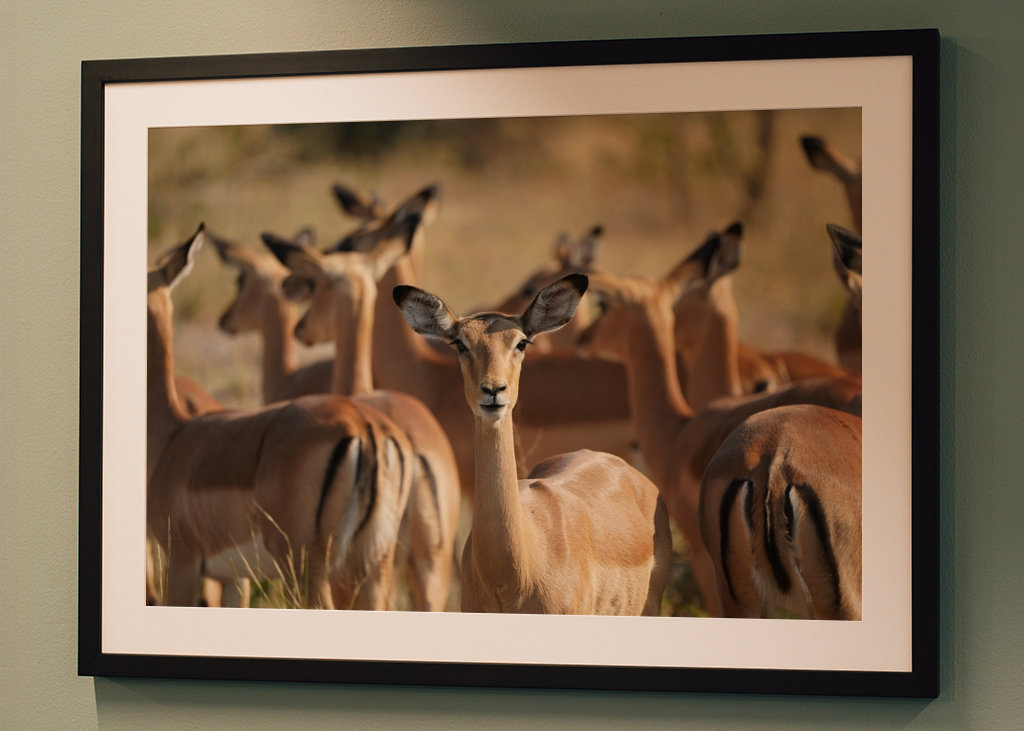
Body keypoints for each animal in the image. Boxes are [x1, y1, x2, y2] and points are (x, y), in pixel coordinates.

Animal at [147, 225, 413, 609]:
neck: (171, 436)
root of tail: (364, 426)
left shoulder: (182, 561)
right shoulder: (233, 578)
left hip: (307, 568)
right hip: (374, 564)